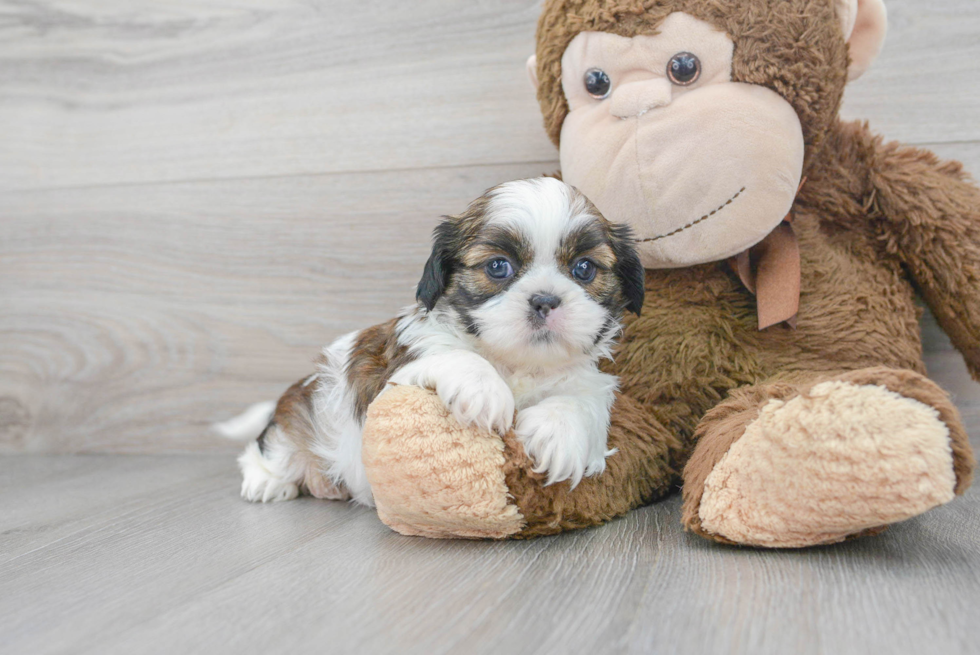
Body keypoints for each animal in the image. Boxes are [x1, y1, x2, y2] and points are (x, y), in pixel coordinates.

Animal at [216, 179, 644, 508]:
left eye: (584, 268)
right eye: (498, 267)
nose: (545, 299)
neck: (516, 364)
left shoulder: (589, 381)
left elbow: (582, 397)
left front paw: (560, 433)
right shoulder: (399, 370)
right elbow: (458, 356)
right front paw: (486, 391)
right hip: (296, 422)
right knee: (265, 450)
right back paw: (267, 481)